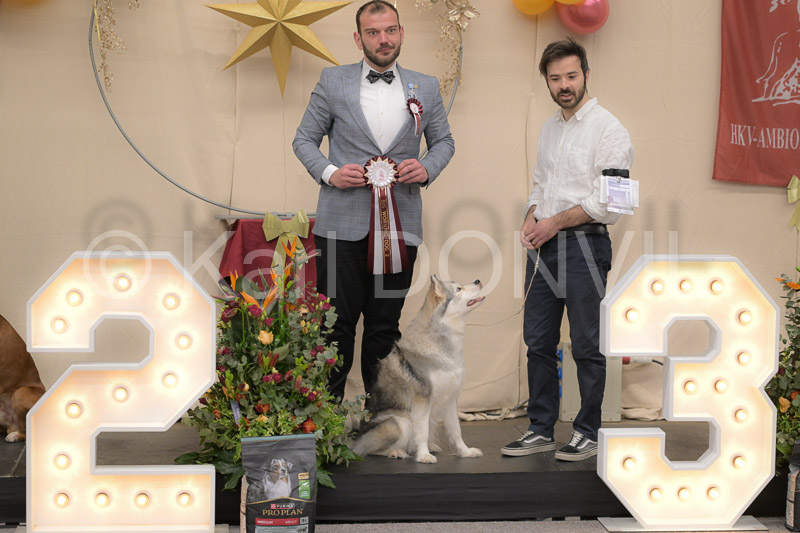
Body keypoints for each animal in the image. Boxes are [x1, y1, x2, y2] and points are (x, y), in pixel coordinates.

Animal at [353, 275, 485, 464]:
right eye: (459, 289)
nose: (478, 281)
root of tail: (356, 435)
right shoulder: (421, 401)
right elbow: (422, 433)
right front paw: (423, 456)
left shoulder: (451, 398)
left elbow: (456, 431)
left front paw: (465, 452)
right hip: (400, 423)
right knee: (365, 449)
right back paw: (396, 452)